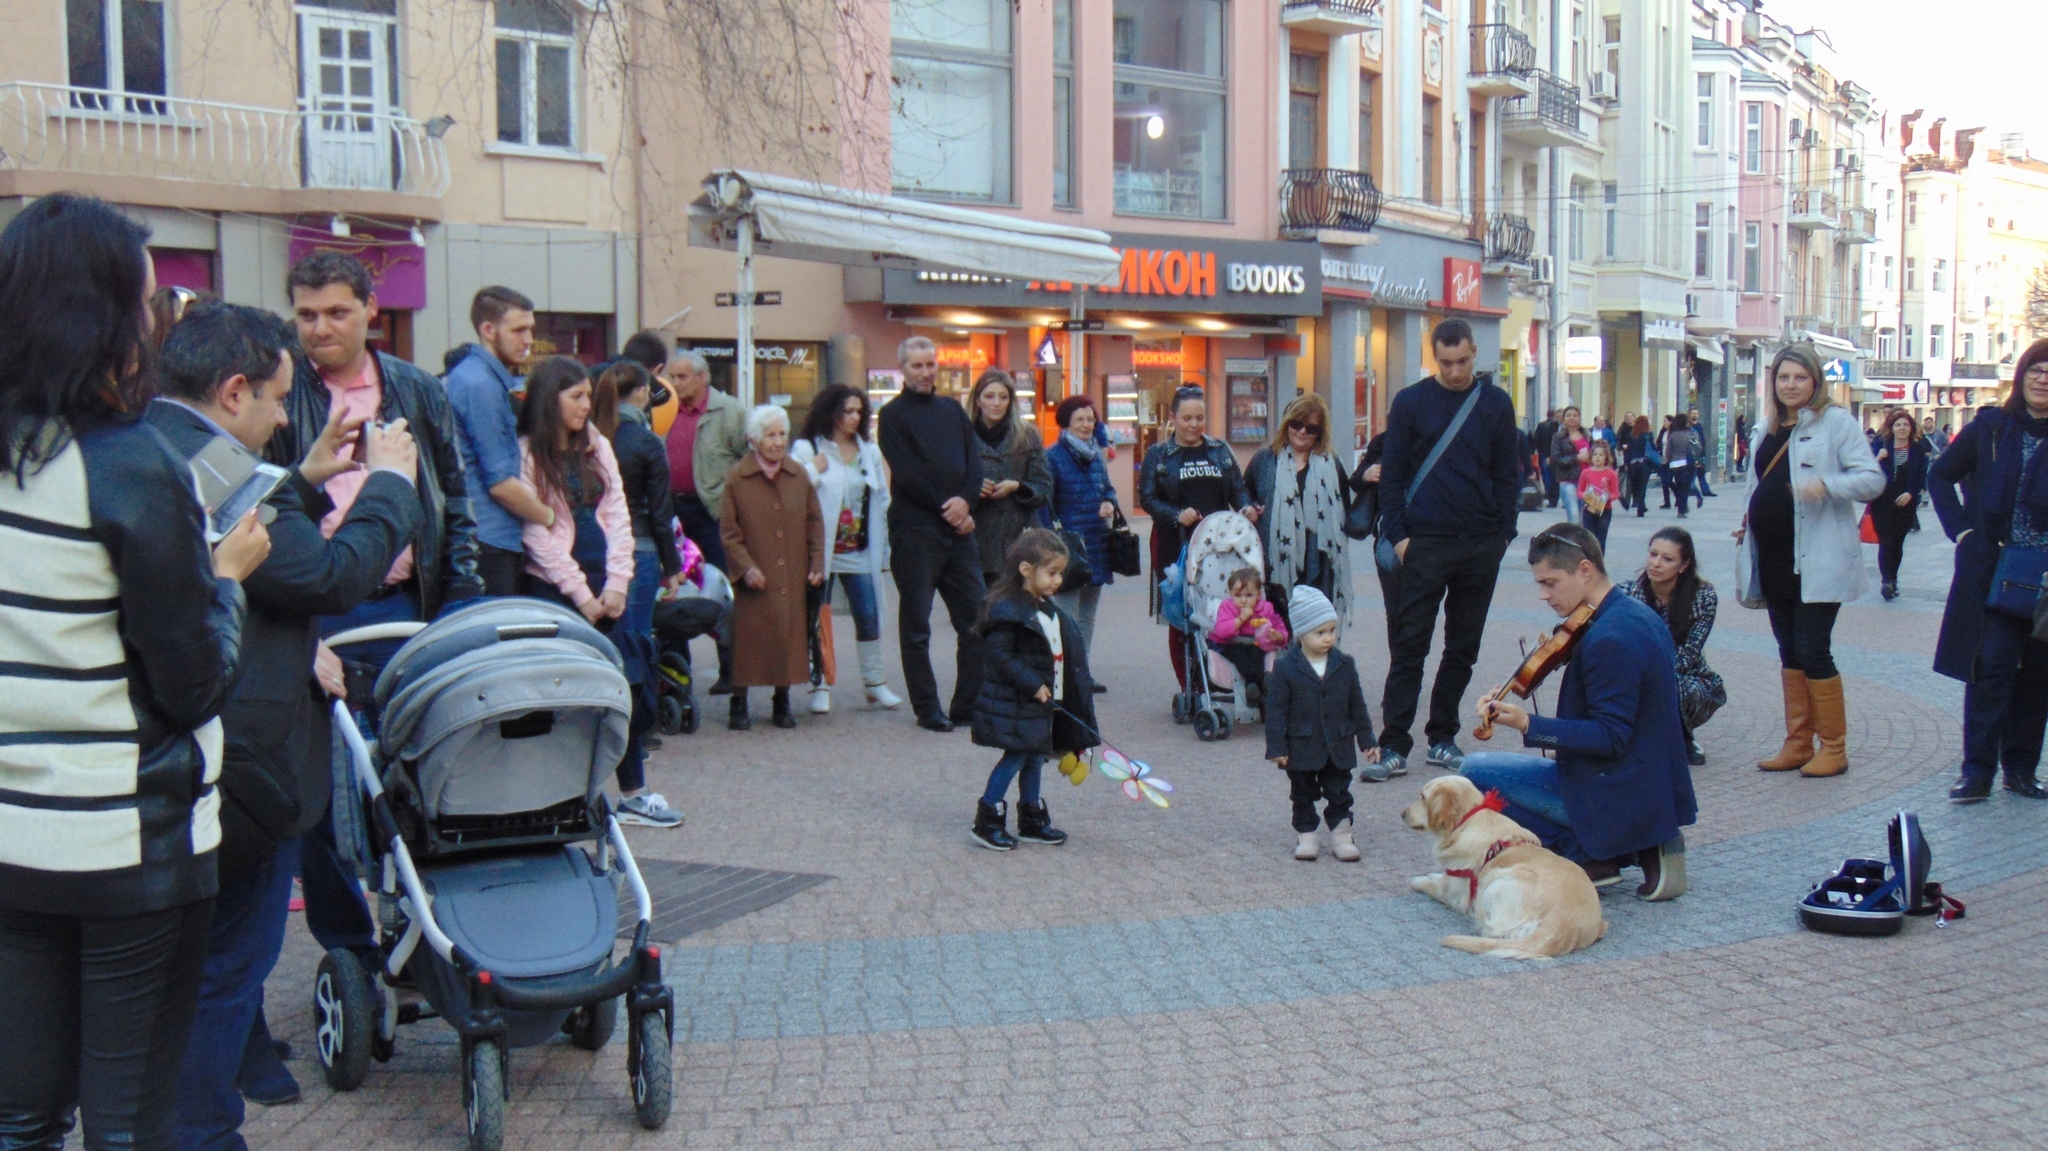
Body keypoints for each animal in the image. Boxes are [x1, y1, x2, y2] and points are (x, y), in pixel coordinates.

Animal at [1400, 774, 1605, 954]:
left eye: (1423, 797)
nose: (1402, 813)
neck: (1466, 823)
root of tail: (1562, 925)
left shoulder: (1456, 894)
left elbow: (1434, 885)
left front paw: (1420, 881)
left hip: (1496, 881)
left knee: (1493, 930)